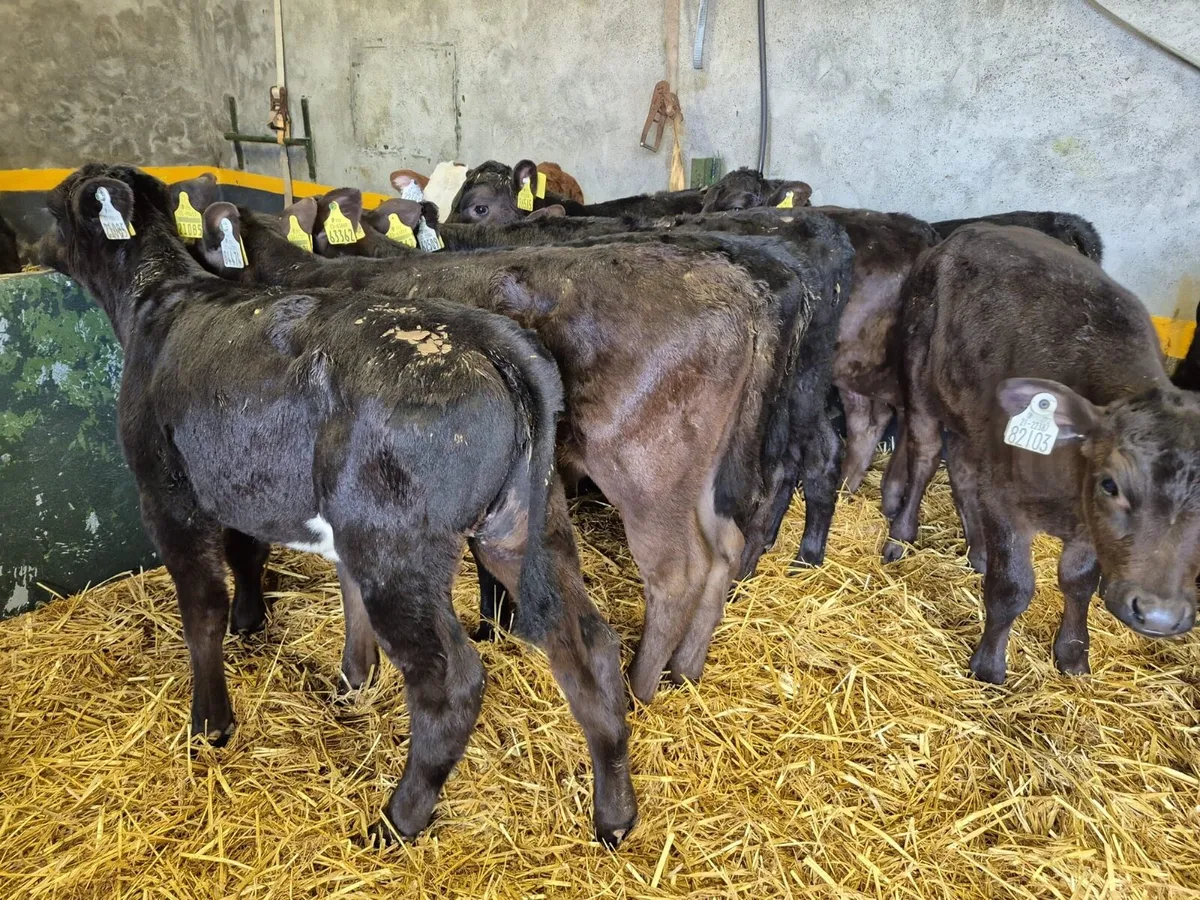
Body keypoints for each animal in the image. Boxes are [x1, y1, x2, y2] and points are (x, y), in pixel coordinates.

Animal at [40, 164, 637, 847]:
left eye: (54, 207)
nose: (33, 241)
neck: (158, 300)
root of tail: (495, 340)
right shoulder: (258, 487)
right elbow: (293, 568)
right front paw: (349, 676)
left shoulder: (169, 495)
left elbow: (203, 607)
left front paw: (210, 722)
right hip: (520, 522)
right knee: (588, 645)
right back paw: (615, 813)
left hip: (395, 544)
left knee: (452, 682)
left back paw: (399, 818)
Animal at [883, 223, 1200, 684]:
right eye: (1111, 484)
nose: (1159, 615)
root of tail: (969, 231)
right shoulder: (1005, 501)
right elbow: (1012, 588)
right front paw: (988, 665)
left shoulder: (1088, 528)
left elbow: (1078, 583)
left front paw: (1072, 653)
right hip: (919, 377)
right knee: (924, 456)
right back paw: (900, 537)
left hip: (969, 416)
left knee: (962, 470)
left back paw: (979, 550)